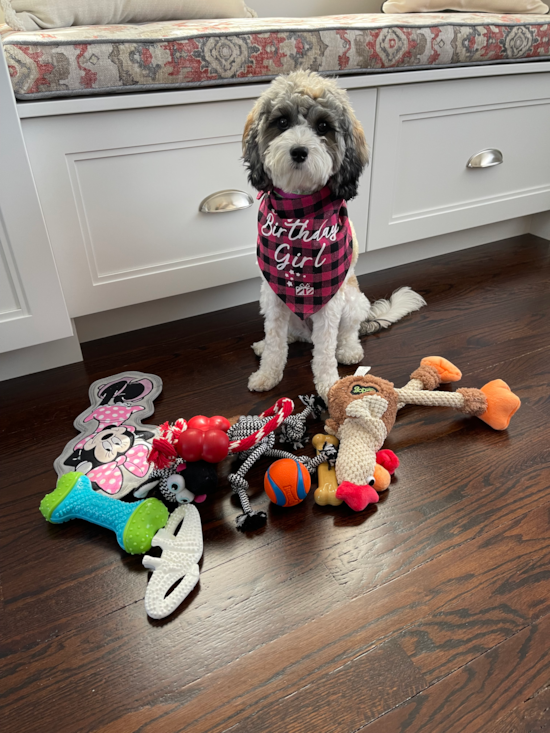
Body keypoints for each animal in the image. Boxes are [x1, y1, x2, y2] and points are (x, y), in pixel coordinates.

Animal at [244, 70, 430, 400]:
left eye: (323, 127)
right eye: (282, 122)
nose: (299, 151)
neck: (300, 214)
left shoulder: (328, 303)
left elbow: (325, 350)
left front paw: (329, 385)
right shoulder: (275, 296)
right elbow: (276, 342)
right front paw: (267, 374)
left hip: (353, 300)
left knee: (348, 332)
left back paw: (349, 350)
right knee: (287, 335)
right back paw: (268, 344)